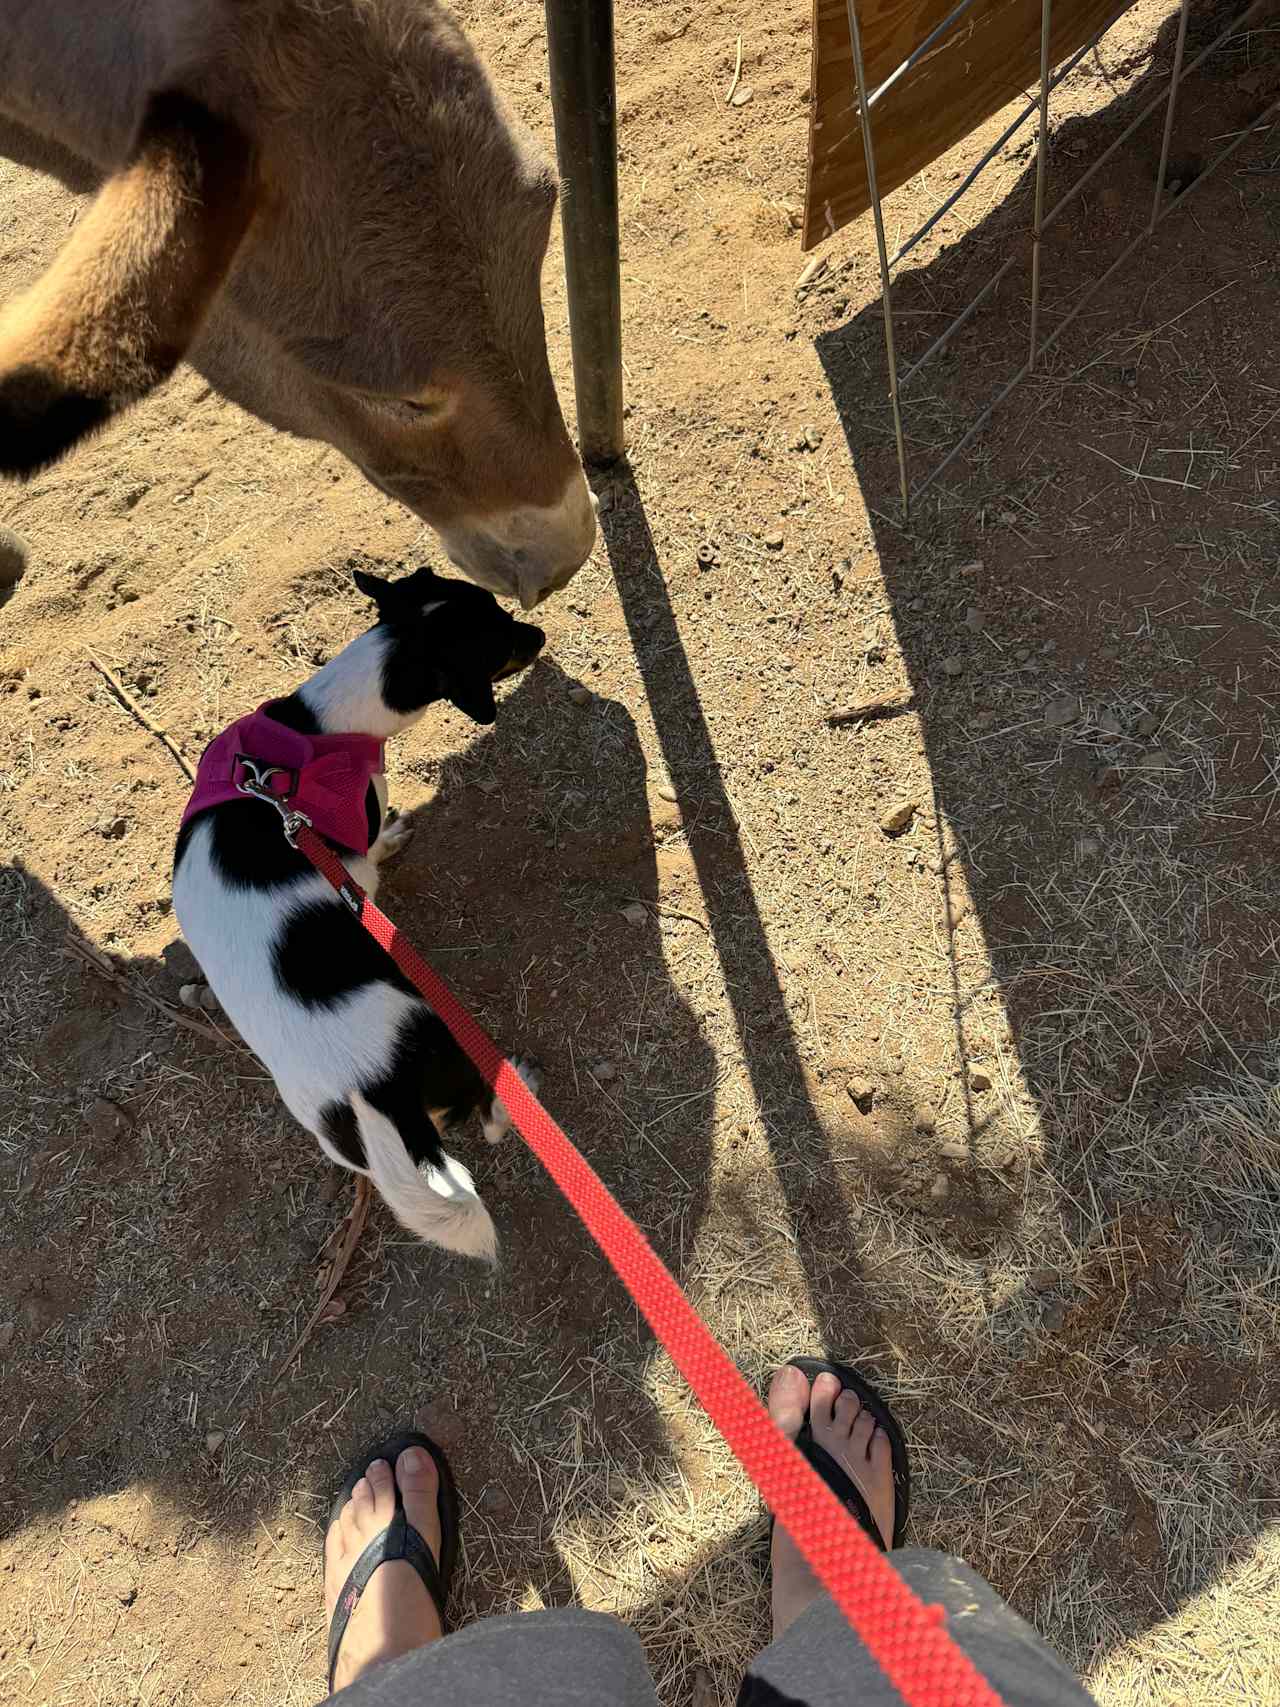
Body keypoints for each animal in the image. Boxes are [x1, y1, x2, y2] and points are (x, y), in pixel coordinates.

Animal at [173, 566, 542, 1263]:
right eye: (502, 637)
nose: (537, 633)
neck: (319, 726)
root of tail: (370, 1089)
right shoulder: (355, 859)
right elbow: (371, 857)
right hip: (443, 1038)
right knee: (485, 1116)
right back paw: (519, 1091)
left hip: (341, 1137)